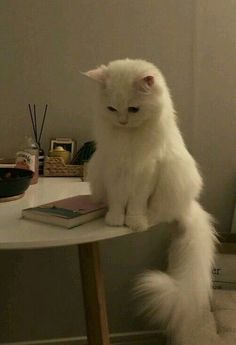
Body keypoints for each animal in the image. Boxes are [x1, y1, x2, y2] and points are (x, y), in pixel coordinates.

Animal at [84, 59, 217, 344]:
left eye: (133, 109)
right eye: (112, 109)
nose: (122, 121)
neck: (128, 139)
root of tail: (188, 205)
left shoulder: (146, 174)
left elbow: (135, 204)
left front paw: (133, 222)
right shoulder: (114, 172)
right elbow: (117, 201)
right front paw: (114, 220)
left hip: (172, 181)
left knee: (159, 213)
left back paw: (147, 220)